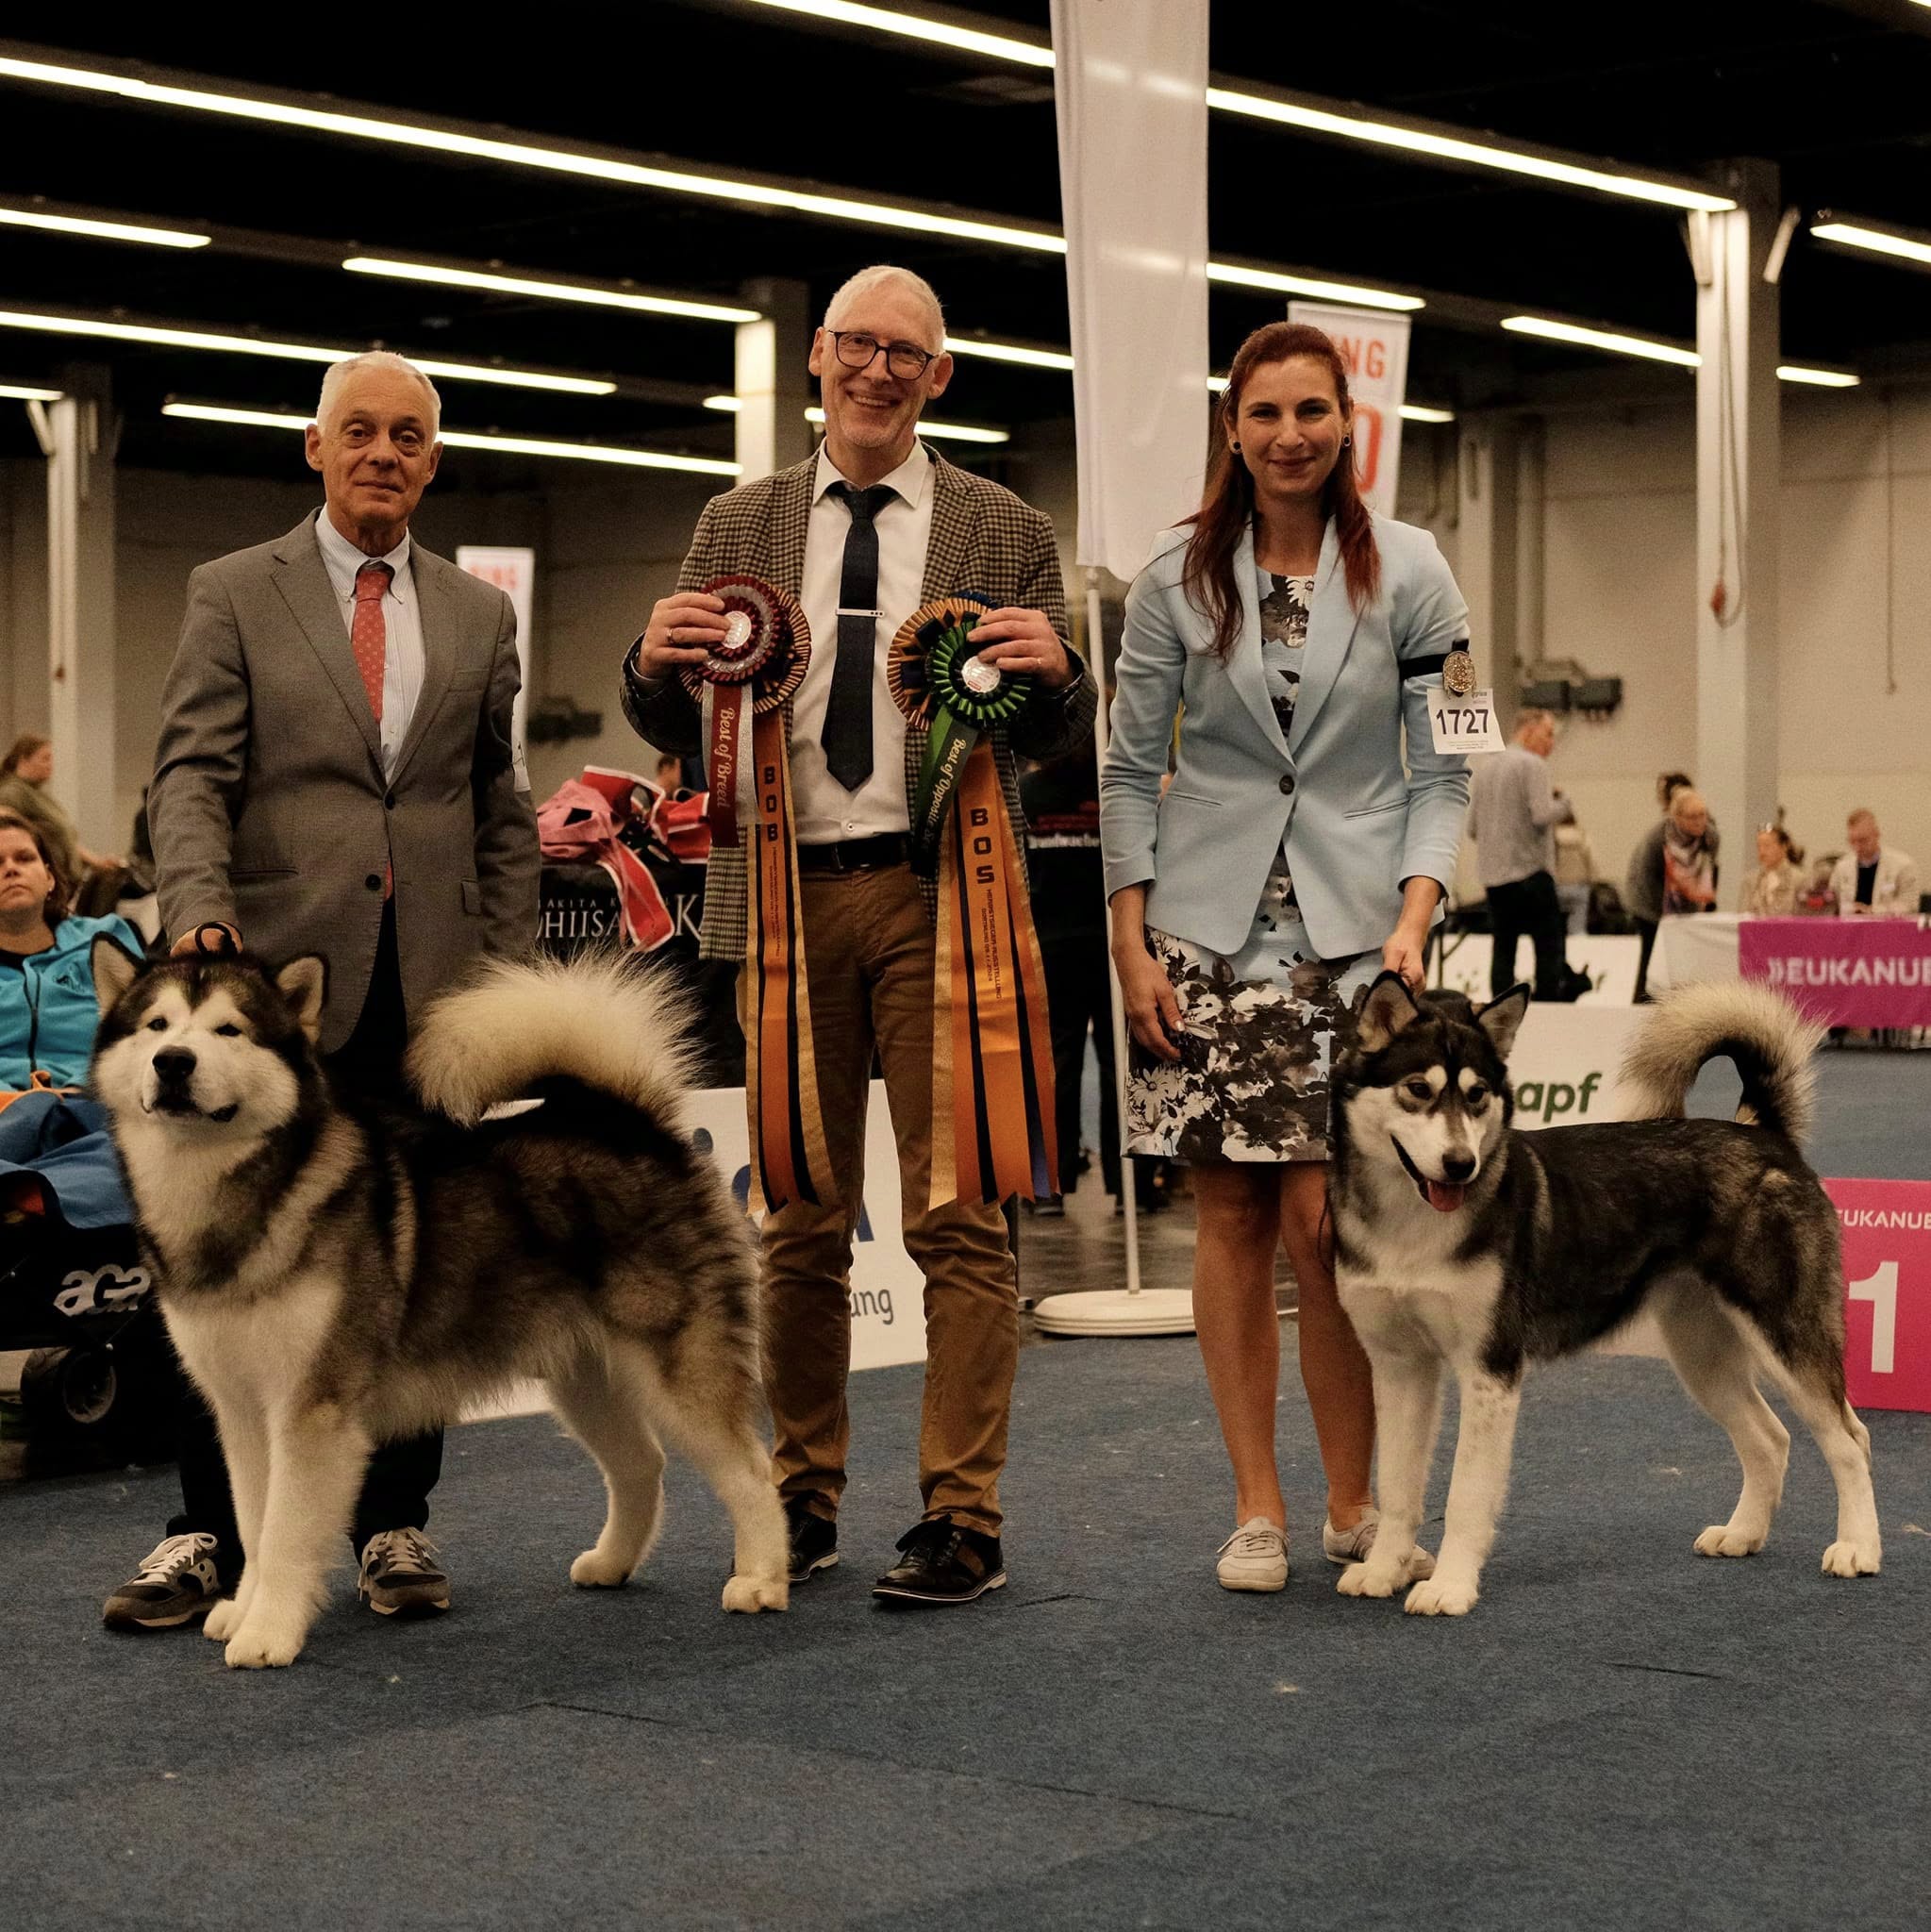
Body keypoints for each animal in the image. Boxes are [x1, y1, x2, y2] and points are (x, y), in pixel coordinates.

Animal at [89, 942, 789, 1668]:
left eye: (229, 1030)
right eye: (157, 1026)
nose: (173, 1062)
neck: (227, 1197)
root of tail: (626, 1121)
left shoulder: (310, 1409)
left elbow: (283, 1532)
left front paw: (269, 1633)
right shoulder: (240, 1410)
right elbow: (253, 1525)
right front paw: (243, 1609)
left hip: (678, 1368)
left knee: (751, 1471)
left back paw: (762, 1581)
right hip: (582, 1378)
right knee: (641, 1464)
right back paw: (612, 1563)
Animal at [1328, 972, 1880, 1618]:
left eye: (1477, 1095)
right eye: (1418, 1089)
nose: (1461, 1164)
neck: (1411, 1228)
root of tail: (1760, 1132)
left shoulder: (1490, 1370)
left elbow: (1465, 1494)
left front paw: (1450, 1586)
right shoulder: (1398, 1367)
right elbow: (1396, 1487)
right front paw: (1383, 1569)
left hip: (1785, 1334)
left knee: (1849, 1439)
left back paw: (1858, 1547)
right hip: (1702, 1355)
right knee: (1771, 1438)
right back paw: (1742, 1533)